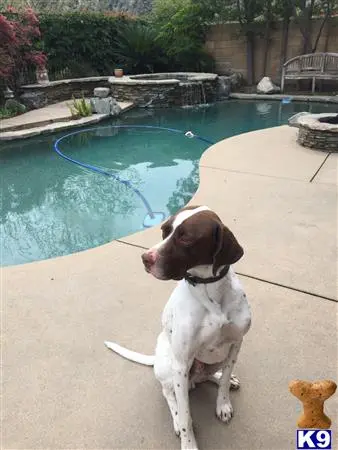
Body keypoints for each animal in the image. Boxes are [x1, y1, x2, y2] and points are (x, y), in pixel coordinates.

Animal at [105, 206, 251, 448]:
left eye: (185, 238)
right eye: (165, 230)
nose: (145, 258)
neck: (210, 292)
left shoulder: (235, 344)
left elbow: (222, 384)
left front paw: (223, 403)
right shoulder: (181, 365)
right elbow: (185, 416)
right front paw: (188, 443)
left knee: (206, 376)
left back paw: (221, 377)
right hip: (170, 367)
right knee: (168, 393)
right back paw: (174, 418)